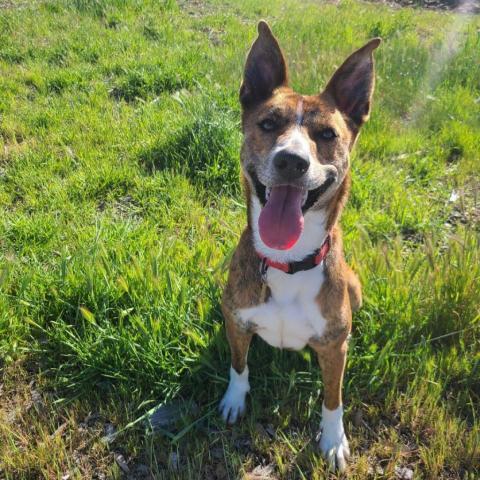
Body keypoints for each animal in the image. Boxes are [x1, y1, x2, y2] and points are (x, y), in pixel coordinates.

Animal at [219, 20, 380, 470]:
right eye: (269, 123)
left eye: (327, 134)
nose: (292, 161)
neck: (287, 261)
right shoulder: (235, 321)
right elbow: (239, 365)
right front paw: (234, 400)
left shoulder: (333, 347)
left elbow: (333, 397)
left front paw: (333, 440)